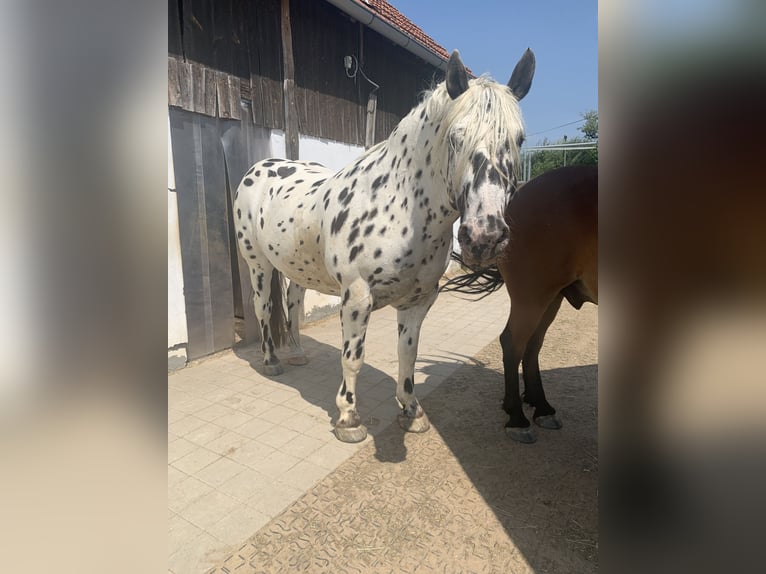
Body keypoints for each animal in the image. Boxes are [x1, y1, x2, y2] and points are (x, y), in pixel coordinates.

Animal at [233, 49, 536, 443]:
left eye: (519, 139)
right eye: (456, 136)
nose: (484, 237)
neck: (399, 205)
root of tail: (259, 168)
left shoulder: (419, 300)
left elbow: (408, 355)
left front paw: (411, 411)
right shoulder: (357, 297)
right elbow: (352, 358)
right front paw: (348, 419)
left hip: (296, 267)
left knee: (293, 304)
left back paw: (297, 353)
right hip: (258, 264)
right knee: (264, 308)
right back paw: (271, 361)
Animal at [443, 164, 597, 443]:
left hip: (551, 296)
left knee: (532, 345)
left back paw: (540, 406)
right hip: (532, 296)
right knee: (514, 343)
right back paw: (517, 417)